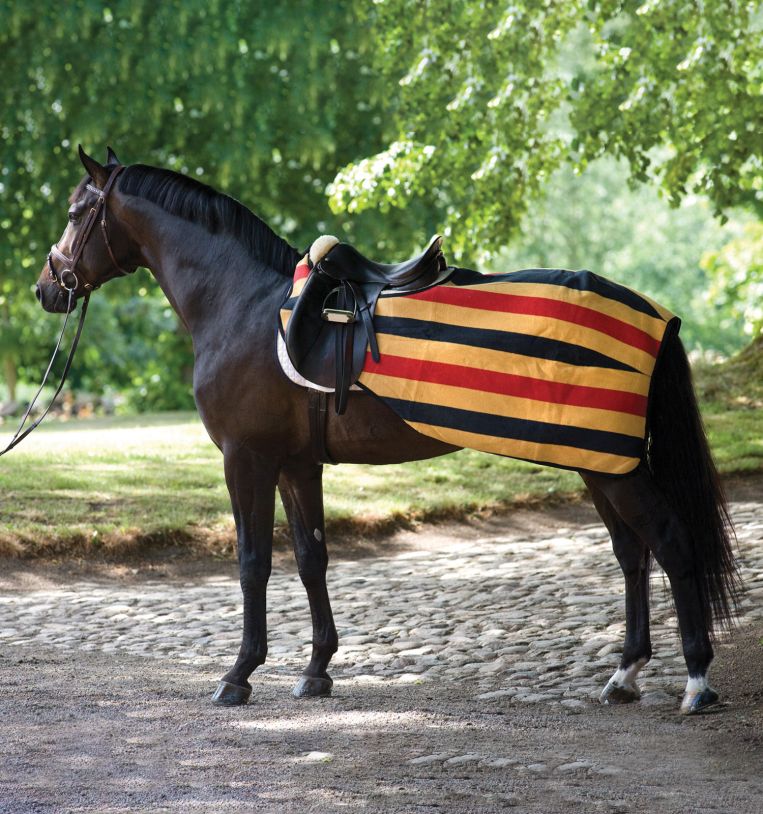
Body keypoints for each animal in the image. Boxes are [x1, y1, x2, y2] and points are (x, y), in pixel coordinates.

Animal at [35, 147, 740, 715]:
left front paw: (239, 675)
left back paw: (697, 682)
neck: (245, 305)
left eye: (74, 212)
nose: (48, 287)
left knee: (671, 544)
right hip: (598, 462)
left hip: (614, 466)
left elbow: (253, 562)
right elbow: (311, 557)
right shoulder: (296, 463)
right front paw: (317, 670)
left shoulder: (247, 459)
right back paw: (625, 675)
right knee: (632, 553)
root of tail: (654, 315)